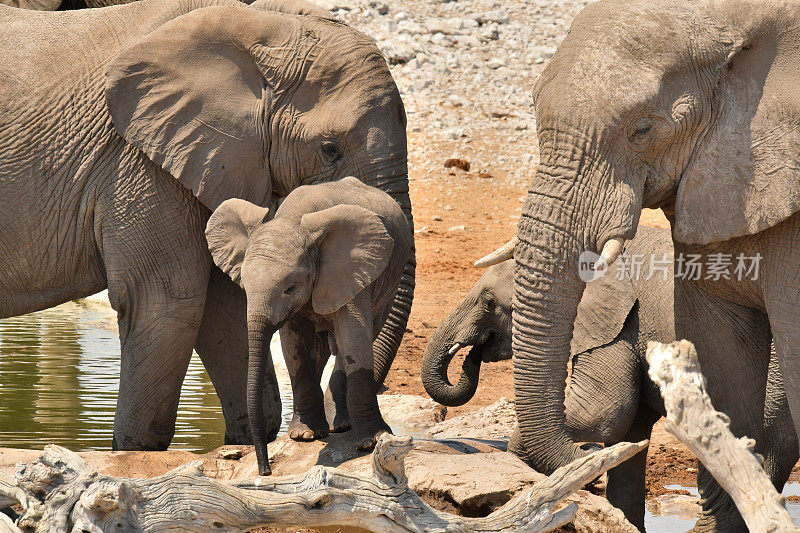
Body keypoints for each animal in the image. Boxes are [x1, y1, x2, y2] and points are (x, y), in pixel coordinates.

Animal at [206, 178, 410, 474]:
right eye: (244, 285)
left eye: (290, 288)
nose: (265, 470)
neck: (294, 220)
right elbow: (295, 346)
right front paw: (304, 436)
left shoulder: (349, 270)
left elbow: (354, 336)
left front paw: (370, 443)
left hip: (390, 277)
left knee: (357, 337)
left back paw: (342, 426)